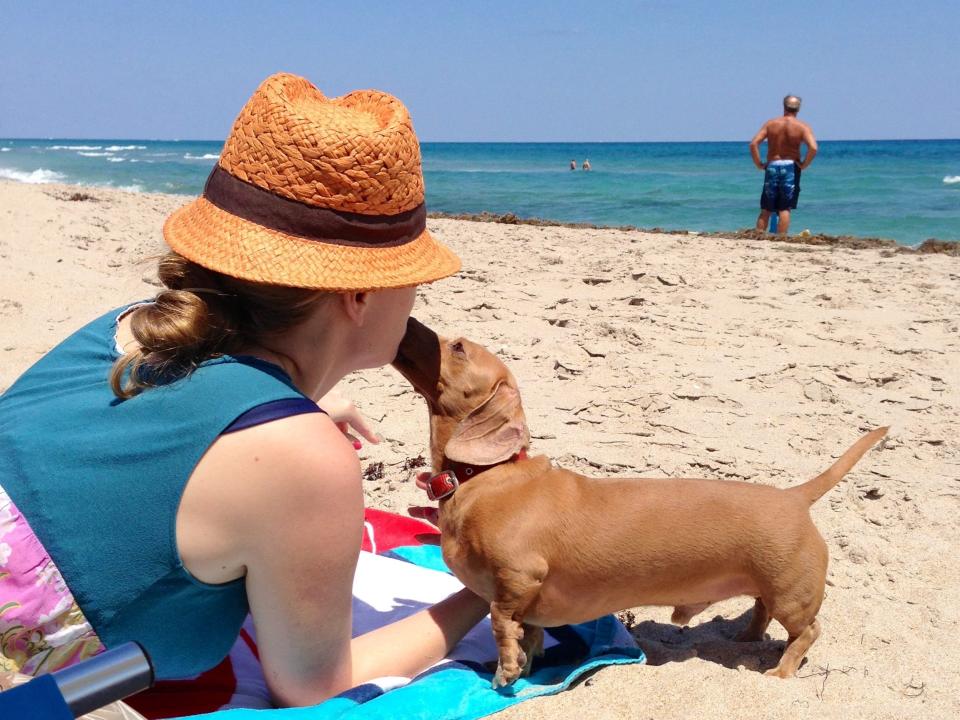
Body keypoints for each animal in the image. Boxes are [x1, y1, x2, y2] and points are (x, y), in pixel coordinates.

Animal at [392, 316, 884, 688]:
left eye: (457, 347)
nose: (408, 320)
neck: (482, 478)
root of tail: (795, 497)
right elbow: (529, 634)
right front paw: (527, 665)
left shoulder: (519, 577)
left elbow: (500, 620)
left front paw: (506, 671)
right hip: (770, 586)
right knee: (761, 610)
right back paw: (744, 637)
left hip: (791, 594)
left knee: (807, 631)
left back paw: (780, 672)